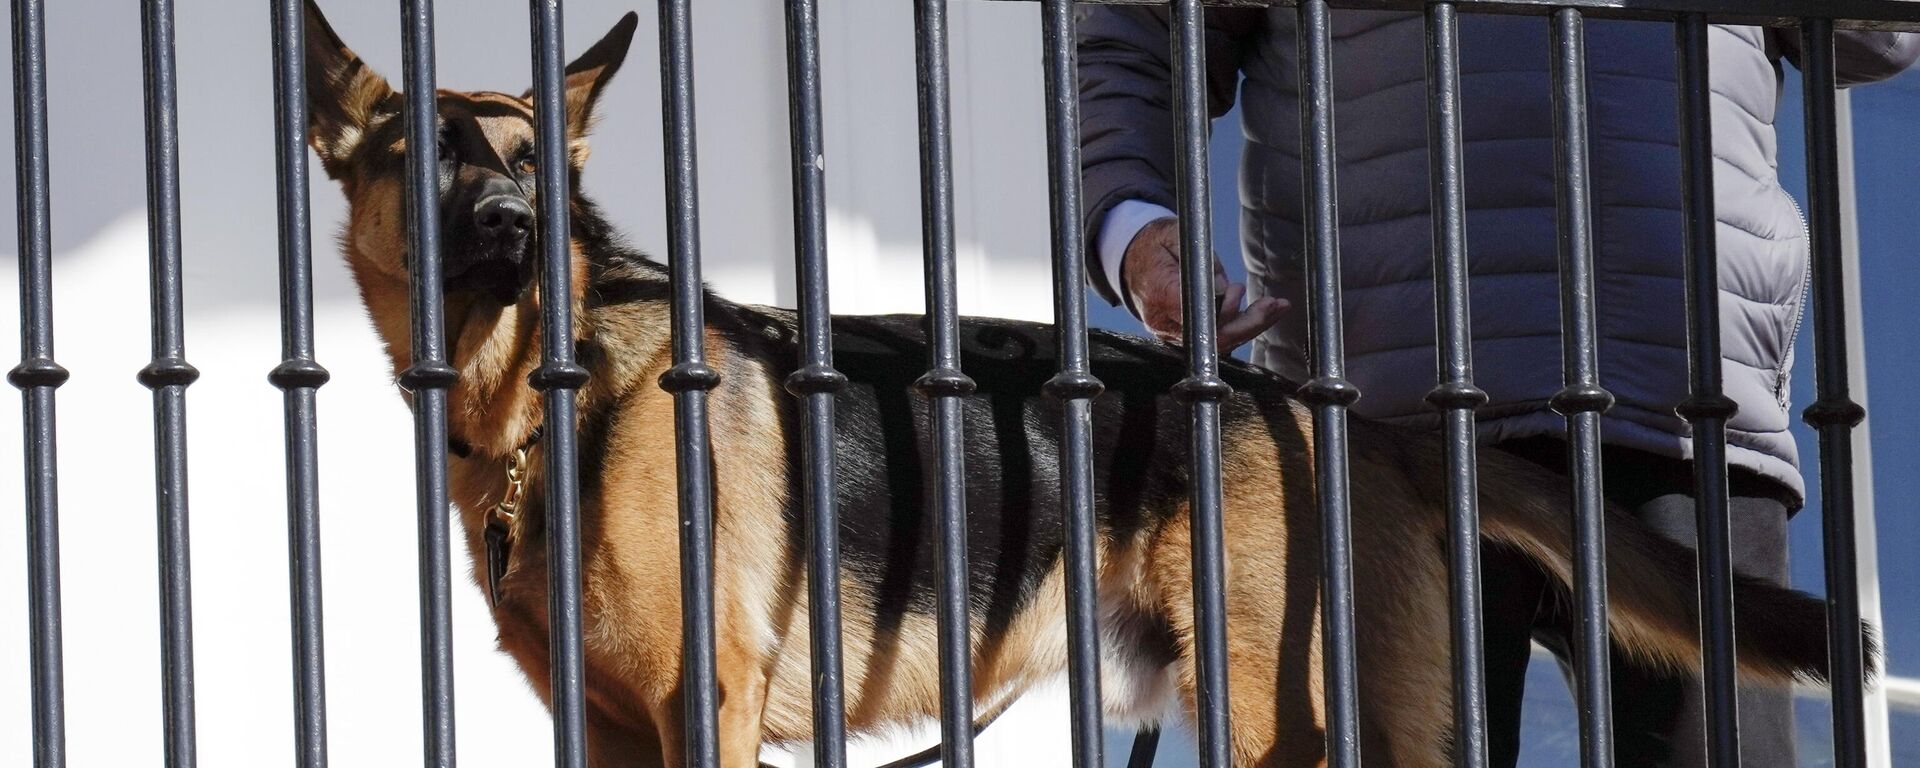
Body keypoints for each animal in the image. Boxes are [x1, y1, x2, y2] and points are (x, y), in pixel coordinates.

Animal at [299, 3, 1873, 764]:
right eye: (426, 156)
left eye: (528, 165)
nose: (515, 231)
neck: (544, 402)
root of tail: (1343, 417)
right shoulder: (614, 733)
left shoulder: (709, 709)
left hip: (1298, 718)